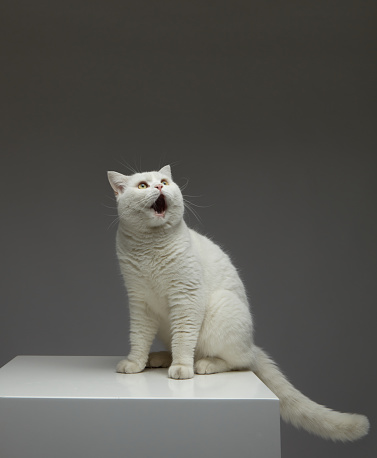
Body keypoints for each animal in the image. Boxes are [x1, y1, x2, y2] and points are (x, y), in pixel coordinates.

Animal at [106, 165, 368, 440]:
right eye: (143, 186)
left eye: (164, 182)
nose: (158, 187)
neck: (150, 248)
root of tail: (252, 345)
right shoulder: (139, 303)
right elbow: (139, 338)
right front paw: (135, 363)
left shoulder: (186, 298)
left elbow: (184, 340)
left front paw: (181, 369)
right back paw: (158, 358)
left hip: (221, 310)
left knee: (235, 361)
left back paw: (201, 364)